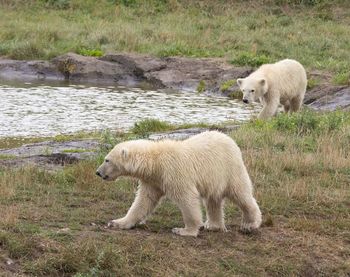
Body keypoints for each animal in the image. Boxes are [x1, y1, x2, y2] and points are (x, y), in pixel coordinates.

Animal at [95, 130, 260, 236]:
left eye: (107, 160)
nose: (98, 172)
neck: (155, 161)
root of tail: (230, 140)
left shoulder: (174, 172)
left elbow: (187, 198)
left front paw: (184, 230)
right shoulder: (153, 180)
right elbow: (143, 201)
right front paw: (117, 222)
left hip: (229, 169)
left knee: (241, 194)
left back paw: (250, 224)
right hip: (214, 177)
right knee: (213, 200)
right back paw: (213, 225)